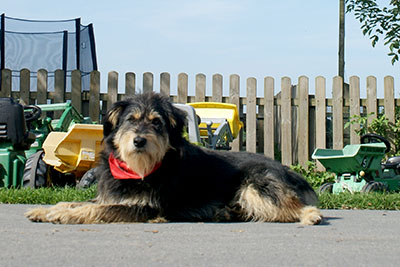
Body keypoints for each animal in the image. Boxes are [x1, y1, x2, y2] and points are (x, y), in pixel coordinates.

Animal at [25, 93, 324, 225]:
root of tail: (290, 171)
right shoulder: (112, 197)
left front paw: (61, 214)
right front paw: (47, 209)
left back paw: (311, 215)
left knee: (291, 207)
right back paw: (226, 212)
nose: (139, 141)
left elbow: (94, 211)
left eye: (156, 122)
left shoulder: (144, 208)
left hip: (255, 186)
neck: (139, 169)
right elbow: (79, 202)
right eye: (131, 120)